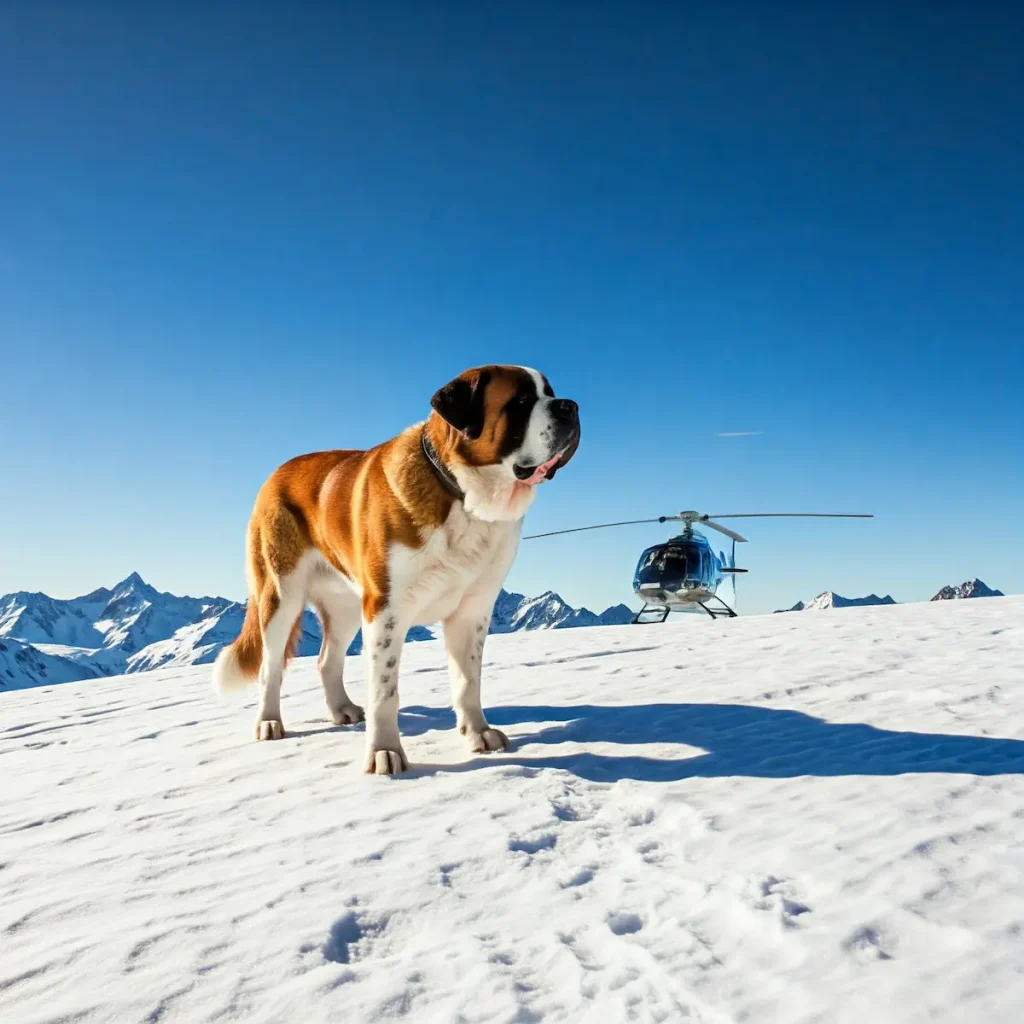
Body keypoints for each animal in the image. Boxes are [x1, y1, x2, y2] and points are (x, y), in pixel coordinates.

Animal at [211, 364, 581, 770]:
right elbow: (384, 692)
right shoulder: (386, 610)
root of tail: (275, 474)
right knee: (271, 666)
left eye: (550, 393)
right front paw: (384, 752)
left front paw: (478, 733)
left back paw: (342, 710)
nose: (570, 406)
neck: (457, 493)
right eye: (521, 402)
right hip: (282, 595)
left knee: (327, 660)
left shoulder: (472, 611)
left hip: (345, 607)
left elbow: (468, 680)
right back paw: (269, 722)